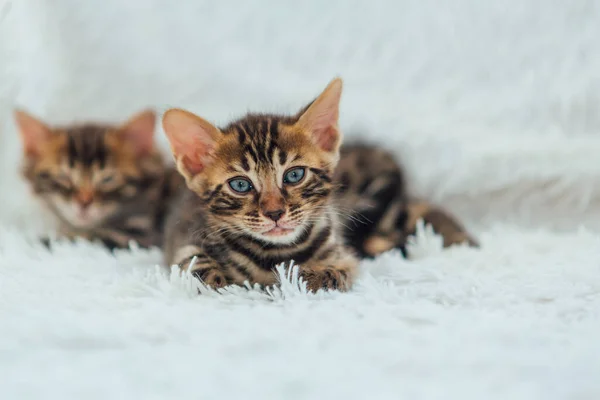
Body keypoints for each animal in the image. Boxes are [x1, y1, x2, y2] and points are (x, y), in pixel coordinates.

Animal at [161, 78, 356, 292]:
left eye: (294, 175)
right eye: (240, 185)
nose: (275, 213)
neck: (278, 251)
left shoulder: (344, 255)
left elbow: (338, 272)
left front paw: (308, 278)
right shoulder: (187, 241)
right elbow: (194, 264)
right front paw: (217, 283)